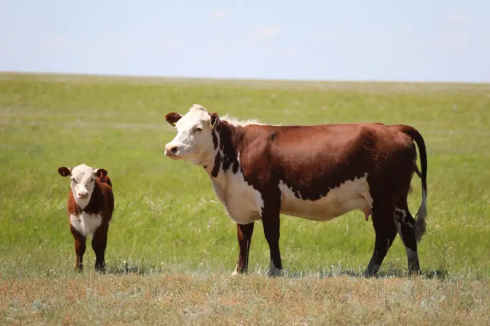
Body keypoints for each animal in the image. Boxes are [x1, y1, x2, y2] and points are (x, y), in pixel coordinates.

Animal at [163, 104, 426, 278]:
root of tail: (393, 128)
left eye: (198, 128)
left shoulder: (269, 199)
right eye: (177, 127)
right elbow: (243, 238)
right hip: (398, 200)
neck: (237, 149)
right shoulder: (242, 204)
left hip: (382, 198)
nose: (171, 148)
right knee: (407, 228)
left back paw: (369, 271)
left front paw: (275, 270)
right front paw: (239, 271)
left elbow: (271, 235)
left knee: (385, 234)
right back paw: (413, 270)